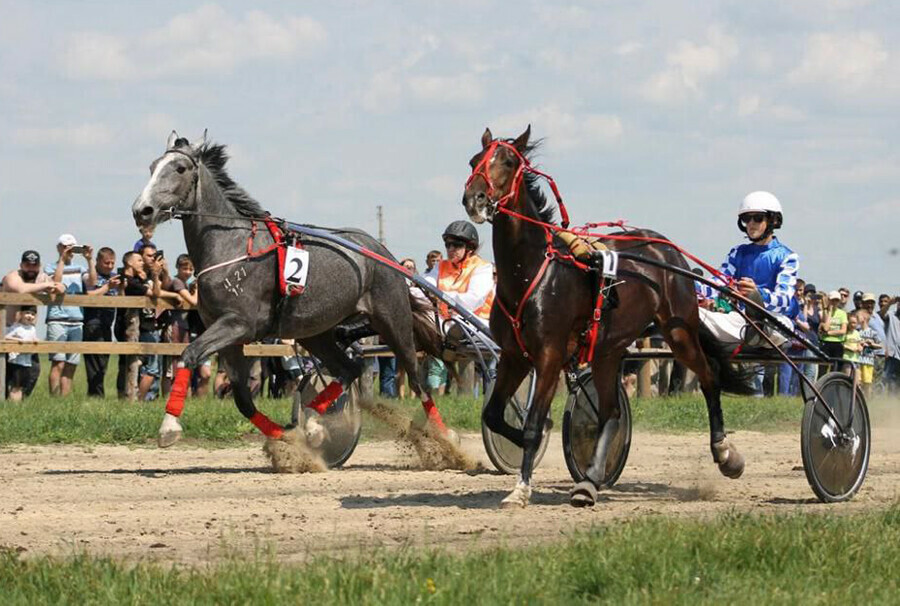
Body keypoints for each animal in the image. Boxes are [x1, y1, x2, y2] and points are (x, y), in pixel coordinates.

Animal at [133, 133, 442, 452]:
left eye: (180, 168)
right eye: (153, 167)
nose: (142, 210)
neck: (231, 245)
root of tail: (383, 252)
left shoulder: (239, 324)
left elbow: (189, 353)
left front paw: (169, 427)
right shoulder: (228, 335)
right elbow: (242, 399)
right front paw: (287, 437)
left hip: (393, 321)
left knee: (418, 382)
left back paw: (446, 439)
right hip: (317, 331)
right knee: (348, 370)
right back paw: (315, 423)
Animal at [464, 127, 752, 508]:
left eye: (509, 161)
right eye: (473, 161)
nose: (474, 198)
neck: (531, 273)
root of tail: (665, 247)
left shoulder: (549, 356)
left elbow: (531, 426)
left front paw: (522, 487)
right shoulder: (515, 356)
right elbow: (494, 416)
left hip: (679, 332)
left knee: (708, 379)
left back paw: (724, 452)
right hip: (608, 351)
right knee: (611, 414)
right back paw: (590, 481)